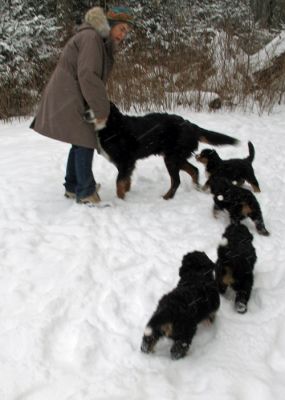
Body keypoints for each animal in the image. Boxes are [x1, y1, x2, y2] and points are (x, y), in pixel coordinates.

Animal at [93, 103, 237, 200]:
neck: (112, 126)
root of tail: (191, 126)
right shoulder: (126, 164)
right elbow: (125, 181)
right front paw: (126, 192)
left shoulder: (126, 162)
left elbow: (119, 183)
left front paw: (121, 200)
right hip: (175, 157)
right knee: (194, 170)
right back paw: (196, 187)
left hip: (171, 158)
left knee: (176, 181)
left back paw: (167, 197)